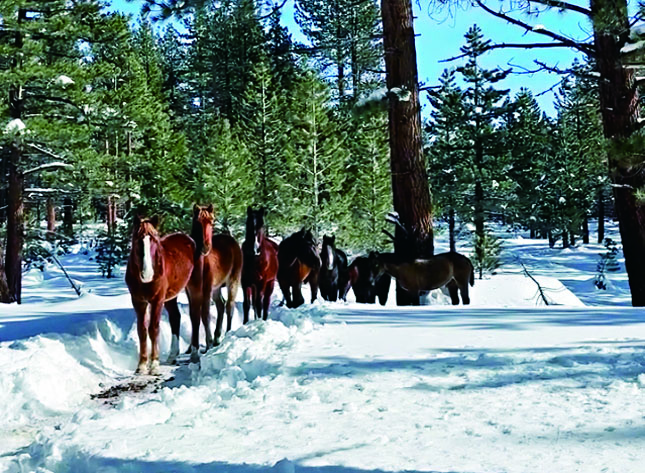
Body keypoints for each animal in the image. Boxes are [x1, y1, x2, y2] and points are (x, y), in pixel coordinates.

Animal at [125, 215, 195, 375]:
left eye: (154, 240)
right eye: (137, 239)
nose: (147, 274)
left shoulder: (157, 300)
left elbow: (154, 329)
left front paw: (154, 364)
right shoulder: (138, 301)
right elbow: (142, 330)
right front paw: (142, 365)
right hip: (170, 297)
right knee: (175, 318)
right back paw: (172, 356)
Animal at [185, 204, 243, 362]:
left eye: (212, 221)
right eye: (197, 222)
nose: (205, 247)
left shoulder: (206, 290)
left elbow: (205, 315)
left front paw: (207, 344)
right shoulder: (191, 292)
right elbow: (194, 317)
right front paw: (192, 350)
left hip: (232, 282)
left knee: (229, 306)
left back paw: (227, 335)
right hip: (216, 289)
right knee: (221, 305)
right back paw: (217, 338)